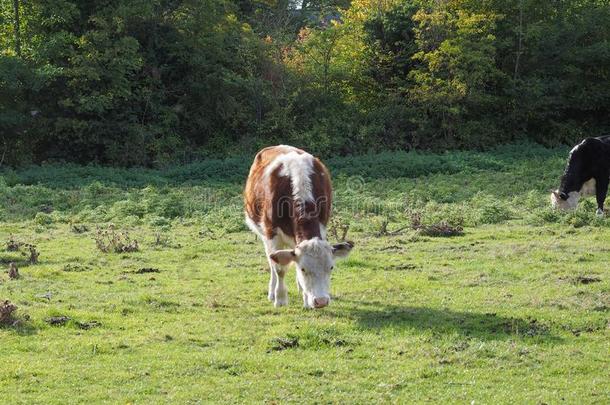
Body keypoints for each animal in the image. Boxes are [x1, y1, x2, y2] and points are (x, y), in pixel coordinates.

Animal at [245, 144, 354, 306]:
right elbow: (279, 269)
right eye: (303, 269)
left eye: (331, 267)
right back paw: (272, 292)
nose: (321, 301)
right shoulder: (272, 234)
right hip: (264, 234)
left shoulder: (322, 225)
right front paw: (280, 299)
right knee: (271, 262)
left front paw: (306, 299)